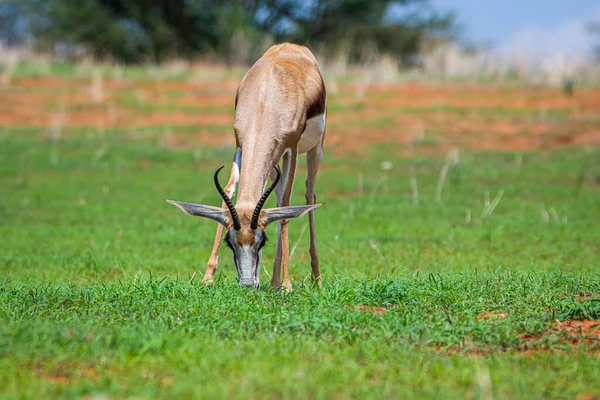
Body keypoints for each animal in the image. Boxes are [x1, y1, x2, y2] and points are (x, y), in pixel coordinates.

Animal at [165, 42, 328, 290]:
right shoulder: (240, 144)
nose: (248, 283)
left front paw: (287, 285)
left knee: (309, 193)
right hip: (272, 163)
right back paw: (274, 281)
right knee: (276, 197)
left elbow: (287, 206)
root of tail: (292, 45)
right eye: (230, 241)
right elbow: (229, 192)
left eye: (262, 241)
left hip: (315, 149)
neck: (265, 97)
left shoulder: (292, 148)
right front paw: (207, 277)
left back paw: (314, 278)